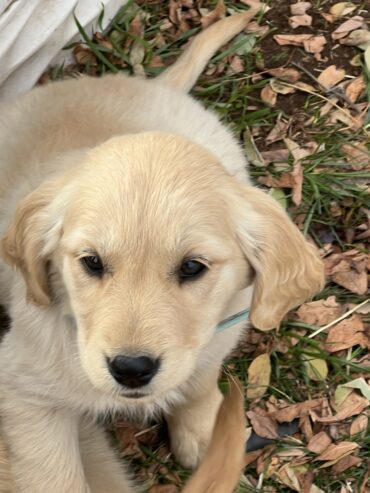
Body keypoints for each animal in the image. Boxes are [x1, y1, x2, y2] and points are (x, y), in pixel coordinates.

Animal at [0, 4, 324, 492]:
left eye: (192, 267)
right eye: (91, 263)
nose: (131, 369)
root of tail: (150, 84)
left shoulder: (220, 329)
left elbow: (201, 374)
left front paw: (202, 432)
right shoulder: (25, 394)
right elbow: (57, 478)